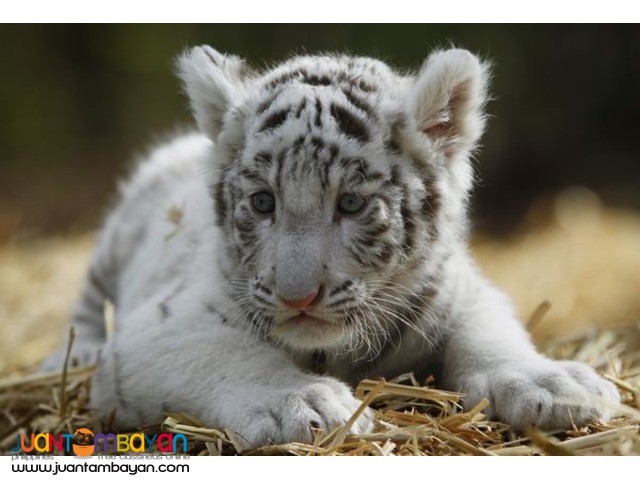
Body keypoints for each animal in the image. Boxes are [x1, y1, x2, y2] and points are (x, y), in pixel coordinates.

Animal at [43, 45, 620, 447]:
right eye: (263, 202)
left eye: (351, 204)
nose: (297, 296)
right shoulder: (159, 328)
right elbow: (222, 351)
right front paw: (300, 403)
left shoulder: (462, 291)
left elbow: (492, 336)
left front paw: (554, 384)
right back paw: (66, 358)